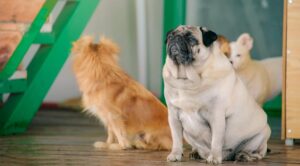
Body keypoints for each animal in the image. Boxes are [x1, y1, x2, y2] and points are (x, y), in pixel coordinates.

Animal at [163, 25, 270, 164]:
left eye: (191, 39)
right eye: (170, 36)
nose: (175, 39)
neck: (187, 79)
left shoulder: (216, 116)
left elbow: (216, 140)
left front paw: (214, 157)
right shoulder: (173, 116)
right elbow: (176, 140)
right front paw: (175, 154)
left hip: (262, 135)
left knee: (259, 153)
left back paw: (245, 156)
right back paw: (196, 152)